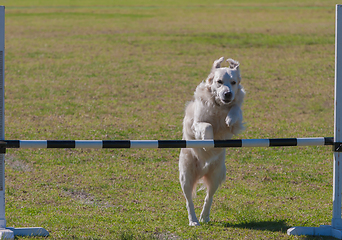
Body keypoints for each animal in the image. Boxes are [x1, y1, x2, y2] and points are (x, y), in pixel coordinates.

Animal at [180, 57, 244, 226]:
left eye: (233, 82)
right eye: (219, 81)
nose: (228, 94)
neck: (219, 105)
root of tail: (202, 170)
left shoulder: (235, 124)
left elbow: (236, 110)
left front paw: (230, 118)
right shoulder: (196, 123)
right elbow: (207, 125)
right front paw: (208, 141)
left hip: (216, 174)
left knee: (209, 197)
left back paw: (204, 217)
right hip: (186, 175)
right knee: (189, 200)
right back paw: (194, 220)